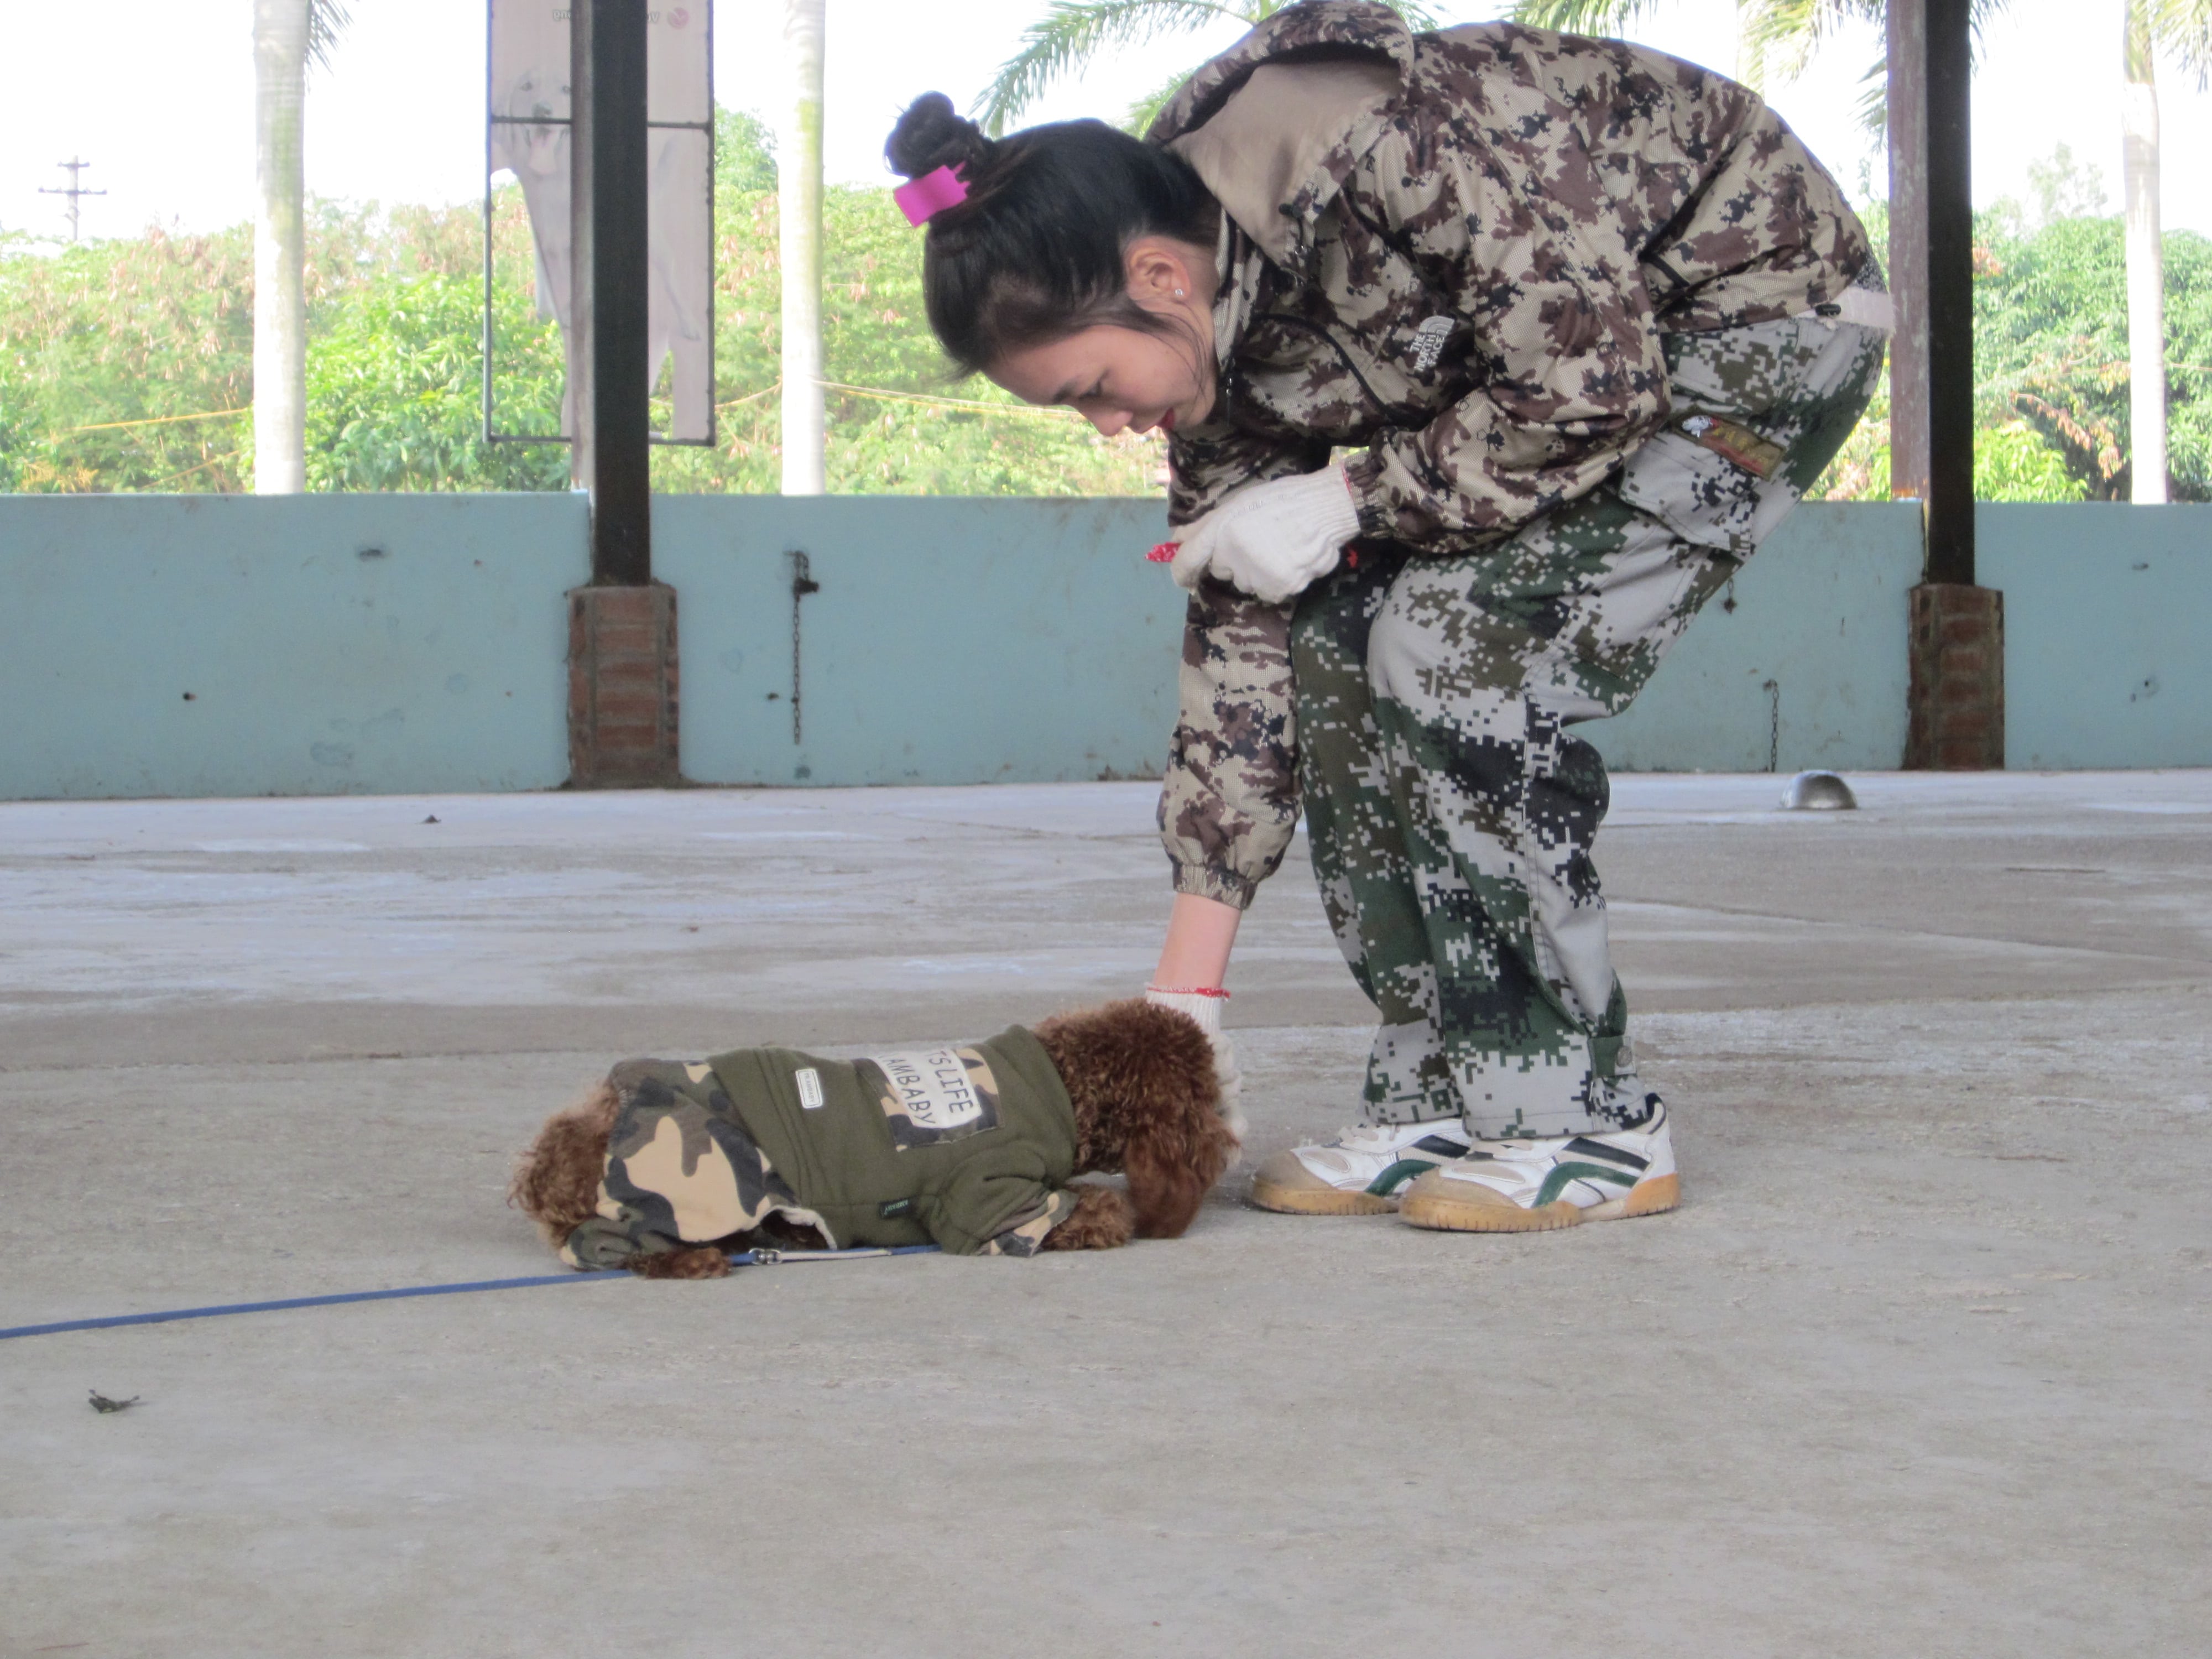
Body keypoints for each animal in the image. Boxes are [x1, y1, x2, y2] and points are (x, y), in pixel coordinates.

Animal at [513, 1000, 1248, 1283]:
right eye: (1203, 1097)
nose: (1228, 1143)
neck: (1066, 1083)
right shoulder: (993, 1203)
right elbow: (1103, 1210)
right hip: (707, 1171)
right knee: (614, 1243)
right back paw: (697, 1259)